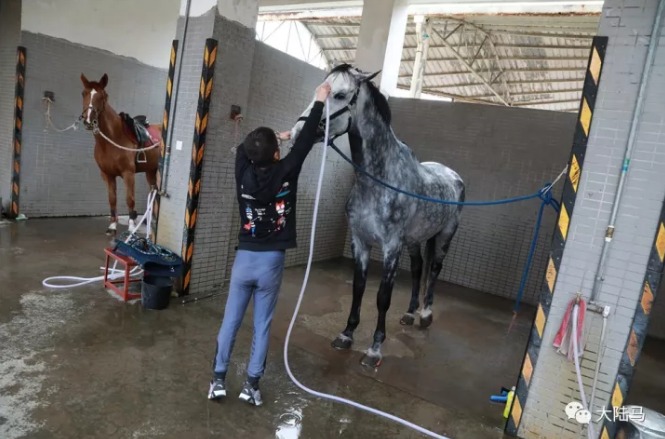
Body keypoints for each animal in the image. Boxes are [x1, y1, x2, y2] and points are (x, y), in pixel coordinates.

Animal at [80, 73, 163, 235]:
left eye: (102, 96)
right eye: (83, 93)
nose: (88, 120)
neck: (113, 139)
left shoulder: (128, 173)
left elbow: (129, 199)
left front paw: (131, 227)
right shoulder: (107, 175)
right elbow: (112, 199)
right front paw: (112, 226)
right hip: (150, 170)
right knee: (153, 193)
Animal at [290, 64, 465, 368]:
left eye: (339, 94)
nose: (299, 131)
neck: (379, 180)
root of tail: (453, 176)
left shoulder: (390, 248)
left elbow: (383, 297)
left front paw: (374, 349)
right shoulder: (360, 241)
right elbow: (358, 288)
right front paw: (346, 334)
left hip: (444, 237)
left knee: (433, 270)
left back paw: (426, 315)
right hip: (415, 240)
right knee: (418, 269)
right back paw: (409, 314)